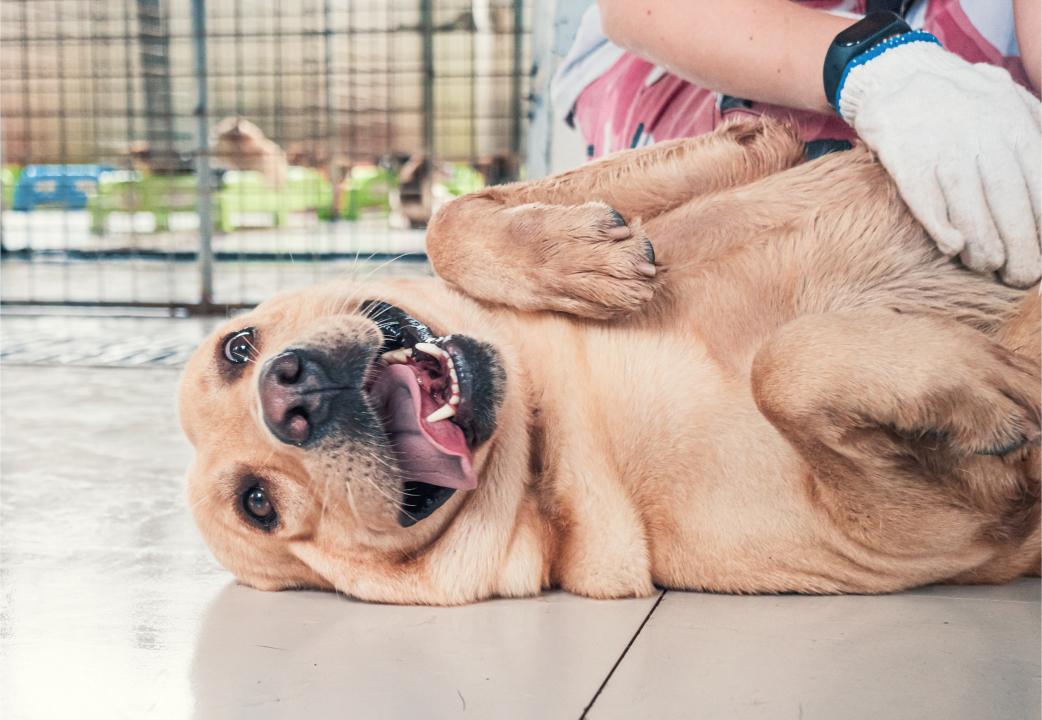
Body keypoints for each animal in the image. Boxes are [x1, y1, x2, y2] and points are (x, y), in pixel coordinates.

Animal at [179, 119, 1042, 604]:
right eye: (257, 505)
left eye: (237, 348)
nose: (290, 395)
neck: (552, 421)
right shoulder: (922, 528)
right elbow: (786, 367)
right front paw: (991, 376)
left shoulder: (767, 146)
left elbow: (452, 218)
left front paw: (574, 258)